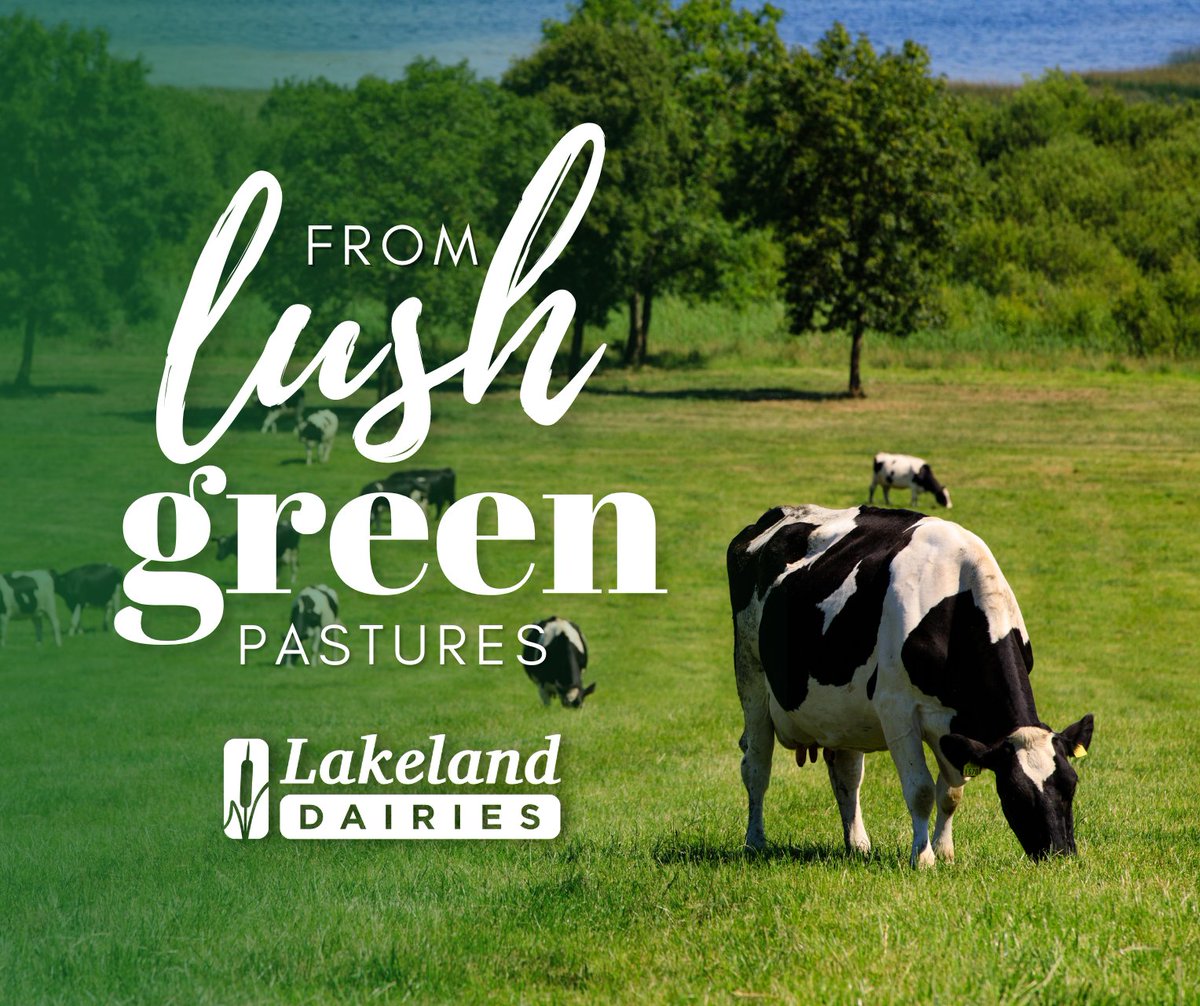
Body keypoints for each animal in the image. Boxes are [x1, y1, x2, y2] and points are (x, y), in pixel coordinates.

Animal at [727, 504, 1093, 866]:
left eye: (1072, 784)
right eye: (1015, 792)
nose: (1060, 854)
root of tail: (779, 513)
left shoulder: (953, 725)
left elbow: (951, 792)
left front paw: (945, 852)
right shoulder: (896, 710)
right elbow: (920, 790)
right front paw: (923, 857)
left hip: (841, 712)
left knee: (847, 775)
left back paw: (857, 844)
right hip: (751, 679)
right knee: (756, 768)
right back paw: (755, 841)